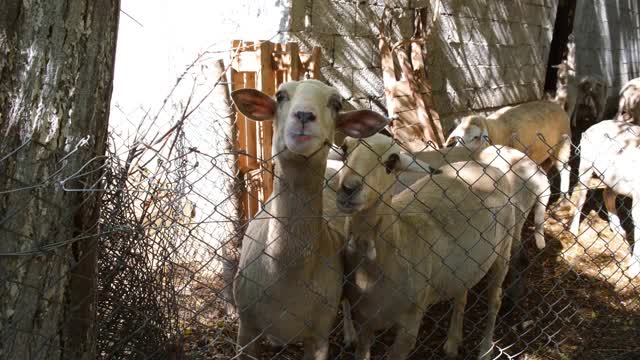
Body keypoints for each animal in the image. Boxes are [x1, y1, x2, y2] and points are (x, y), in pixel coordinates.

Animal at [231, 80, 388, 358]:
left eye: (336, 104)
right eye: (280, 96)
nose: (304, 116)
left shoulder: (319, 337)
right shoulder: (246, 330)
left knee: (347, 300)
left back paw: (350, 336)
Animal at [336, 134, 516, 358]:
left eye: (391, 161)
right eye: (345, 149)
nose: (348, 189)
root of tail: (490, 168)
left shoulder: (409, 326)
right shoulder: (363, 320)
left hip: (503, 249)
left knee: (495, 299)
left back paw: (484, 350)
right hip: (465, 266)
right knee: (462, 295)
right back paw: (452, 344)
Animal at [442, 100, 572, 197]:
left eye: (475, 137)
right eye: (458, 138)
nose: (458, 150)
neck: (494, 130)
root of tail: (557, 105)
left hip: (562, 144)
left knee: (565, 169)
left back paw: (563, 196)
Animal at [568, 119, 640, 278]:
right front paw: (633, 271)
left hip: (613, 180)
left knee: (607, 193)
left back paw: (618, 229)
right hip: (586, 167)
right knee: (580, 195)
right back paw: (573, 230)